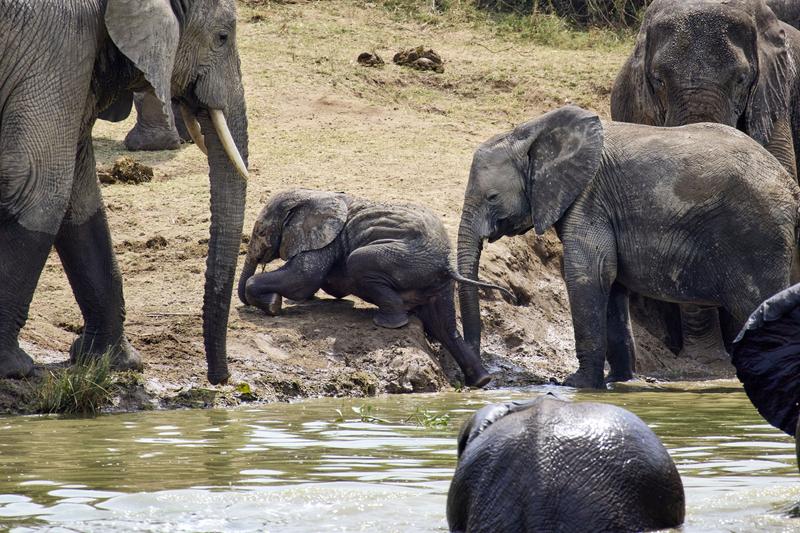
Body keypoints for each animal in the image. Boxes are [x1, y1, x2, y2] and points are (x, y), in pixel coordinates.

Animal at [0, 0, 248, 382]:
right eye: (222, 38)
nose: (220, 378)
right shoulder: (56, 52)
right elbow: (39, 186)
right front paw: (15, 369)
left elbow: (81, 198)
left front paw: (113, 362)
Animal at [238, 188, 512, 386]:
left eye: (260, 232)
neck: (312, 194)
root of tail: (448, 263)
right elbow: (326, 284)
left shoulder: (327, 239)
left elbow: (303, 278)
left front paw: (272, 304)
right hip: (438, 282)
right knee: (444, 327)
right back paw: (482, 381)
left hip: (407, 258)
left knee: (358, 261)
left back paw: (388, 322)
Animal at [456, 105, 800, 386]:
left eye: (492, 197)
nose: (481, 380)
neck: (530, 132)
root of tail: (790, 186)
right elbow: (612, 285)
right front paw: (619, 383)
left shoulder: (589, 198)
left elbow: (588, 274)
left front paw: (577, 385)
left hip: (757, 234)